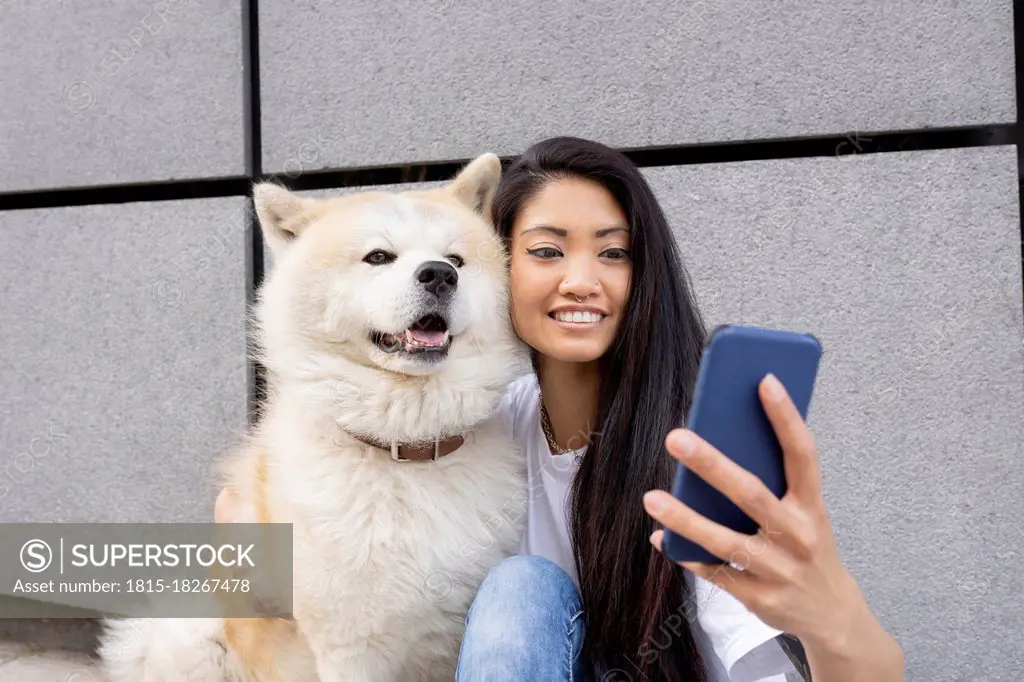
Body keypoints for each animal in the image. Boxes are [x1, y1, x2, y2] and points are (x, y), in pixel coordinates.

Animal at [97, 153, 528, 679]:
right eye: (378, 257)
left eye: (457, 259)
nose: (440, 274)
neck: (405, 447)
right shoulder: (353, 647)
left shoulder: (452, 635)